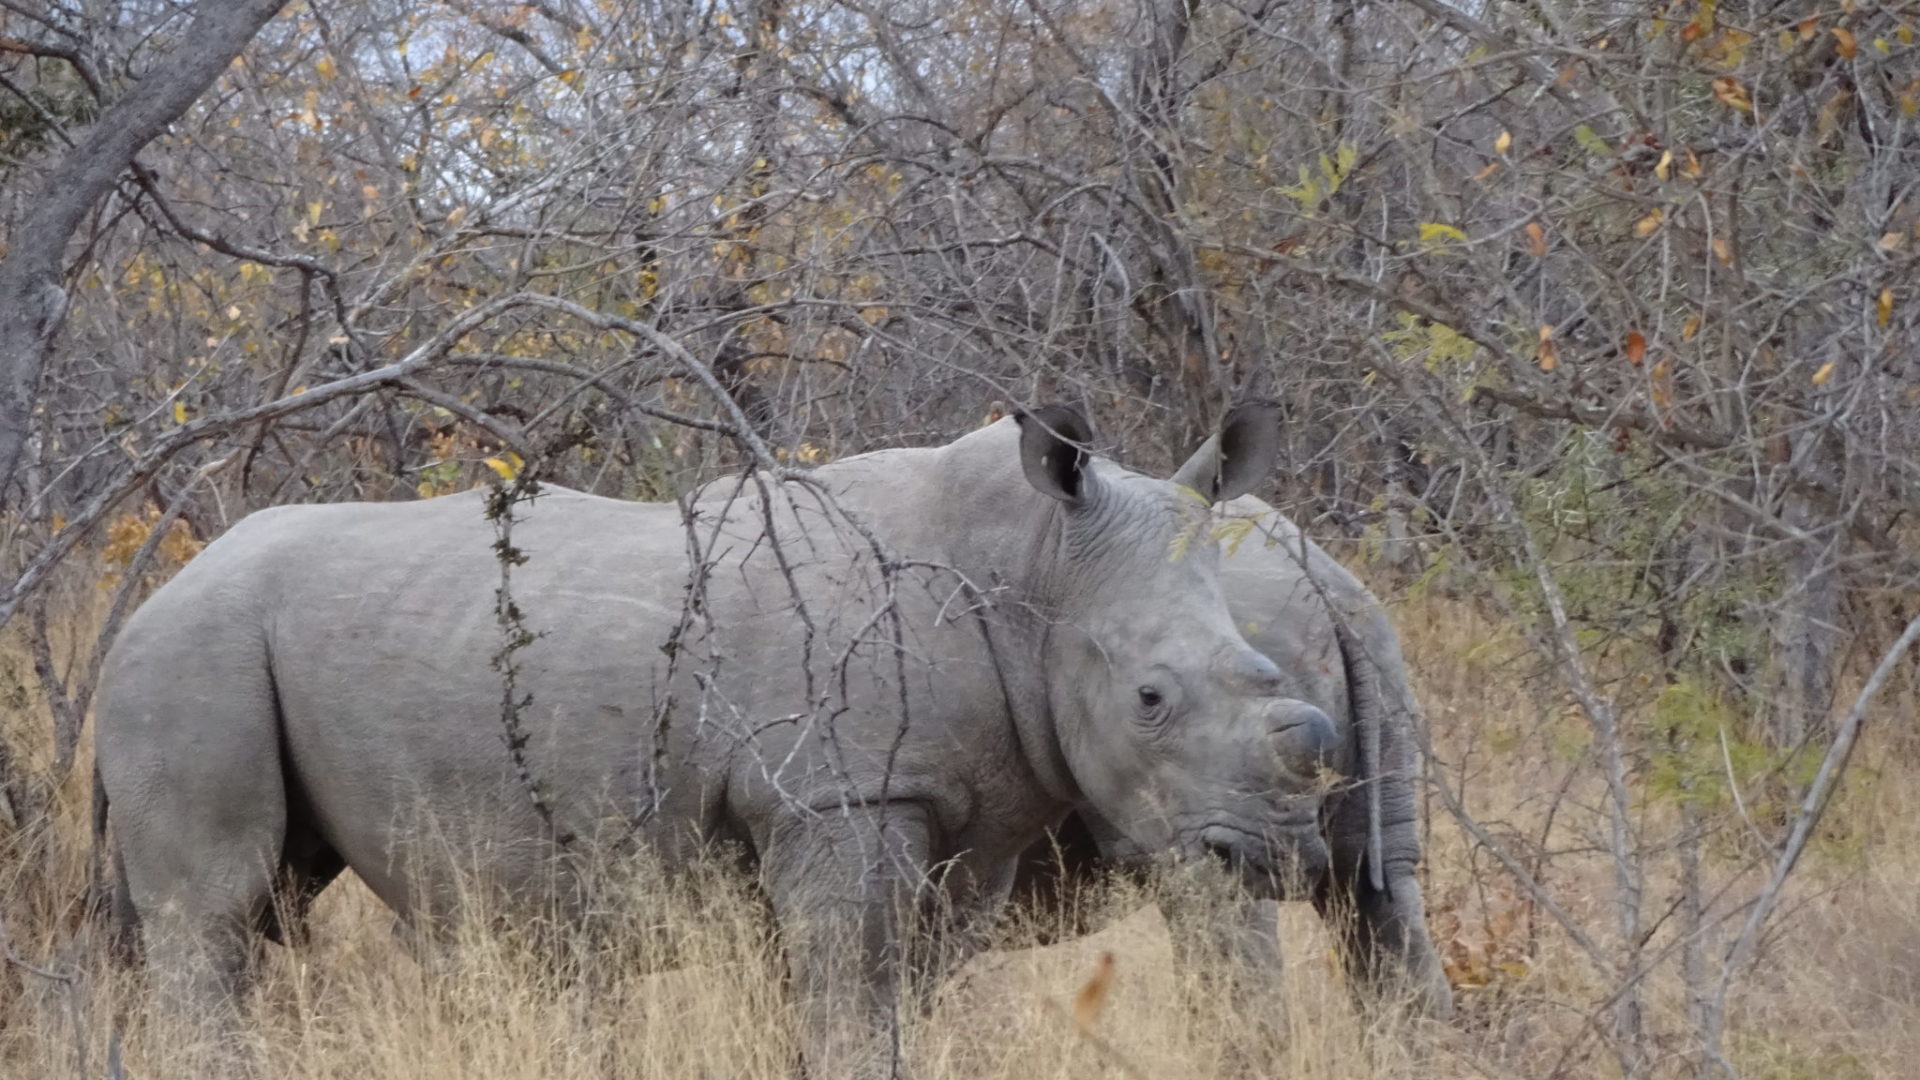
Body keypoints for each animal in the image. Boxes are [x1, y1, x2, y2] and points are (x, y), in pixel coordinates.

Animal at [95, 403, 1345, 1078]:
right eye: (1150, 699)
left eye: (1270, 673)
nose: (1276, 852)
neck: (1031, 569)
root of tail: (146, 596)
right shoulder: (837, 796)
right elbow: (851, 993)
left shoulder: (962, 816)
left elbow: (881, 996)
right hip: (190, 654)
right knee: (214, 909)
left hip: (223, 648)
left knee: (272, 895)